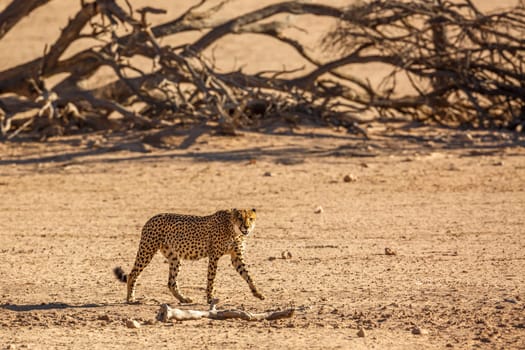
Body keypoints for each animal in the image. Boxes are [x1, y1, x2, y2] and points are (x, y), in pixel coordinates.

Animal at [113, 208, 264, 304]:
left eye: (251, 219)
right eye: (240, 218)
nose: (246, 227)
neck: (235, 231)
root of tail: (152, 218)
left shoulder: (236, 257)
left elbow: (248, 275)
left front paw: (257, 293)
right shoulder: (214, 256)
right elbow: (211, 279)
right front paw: (210, 298)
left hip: (174, 258)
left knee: (171, 283)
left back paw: (183, 299)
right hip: (147, 251)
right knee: (133, 274)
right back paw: (130, 299)